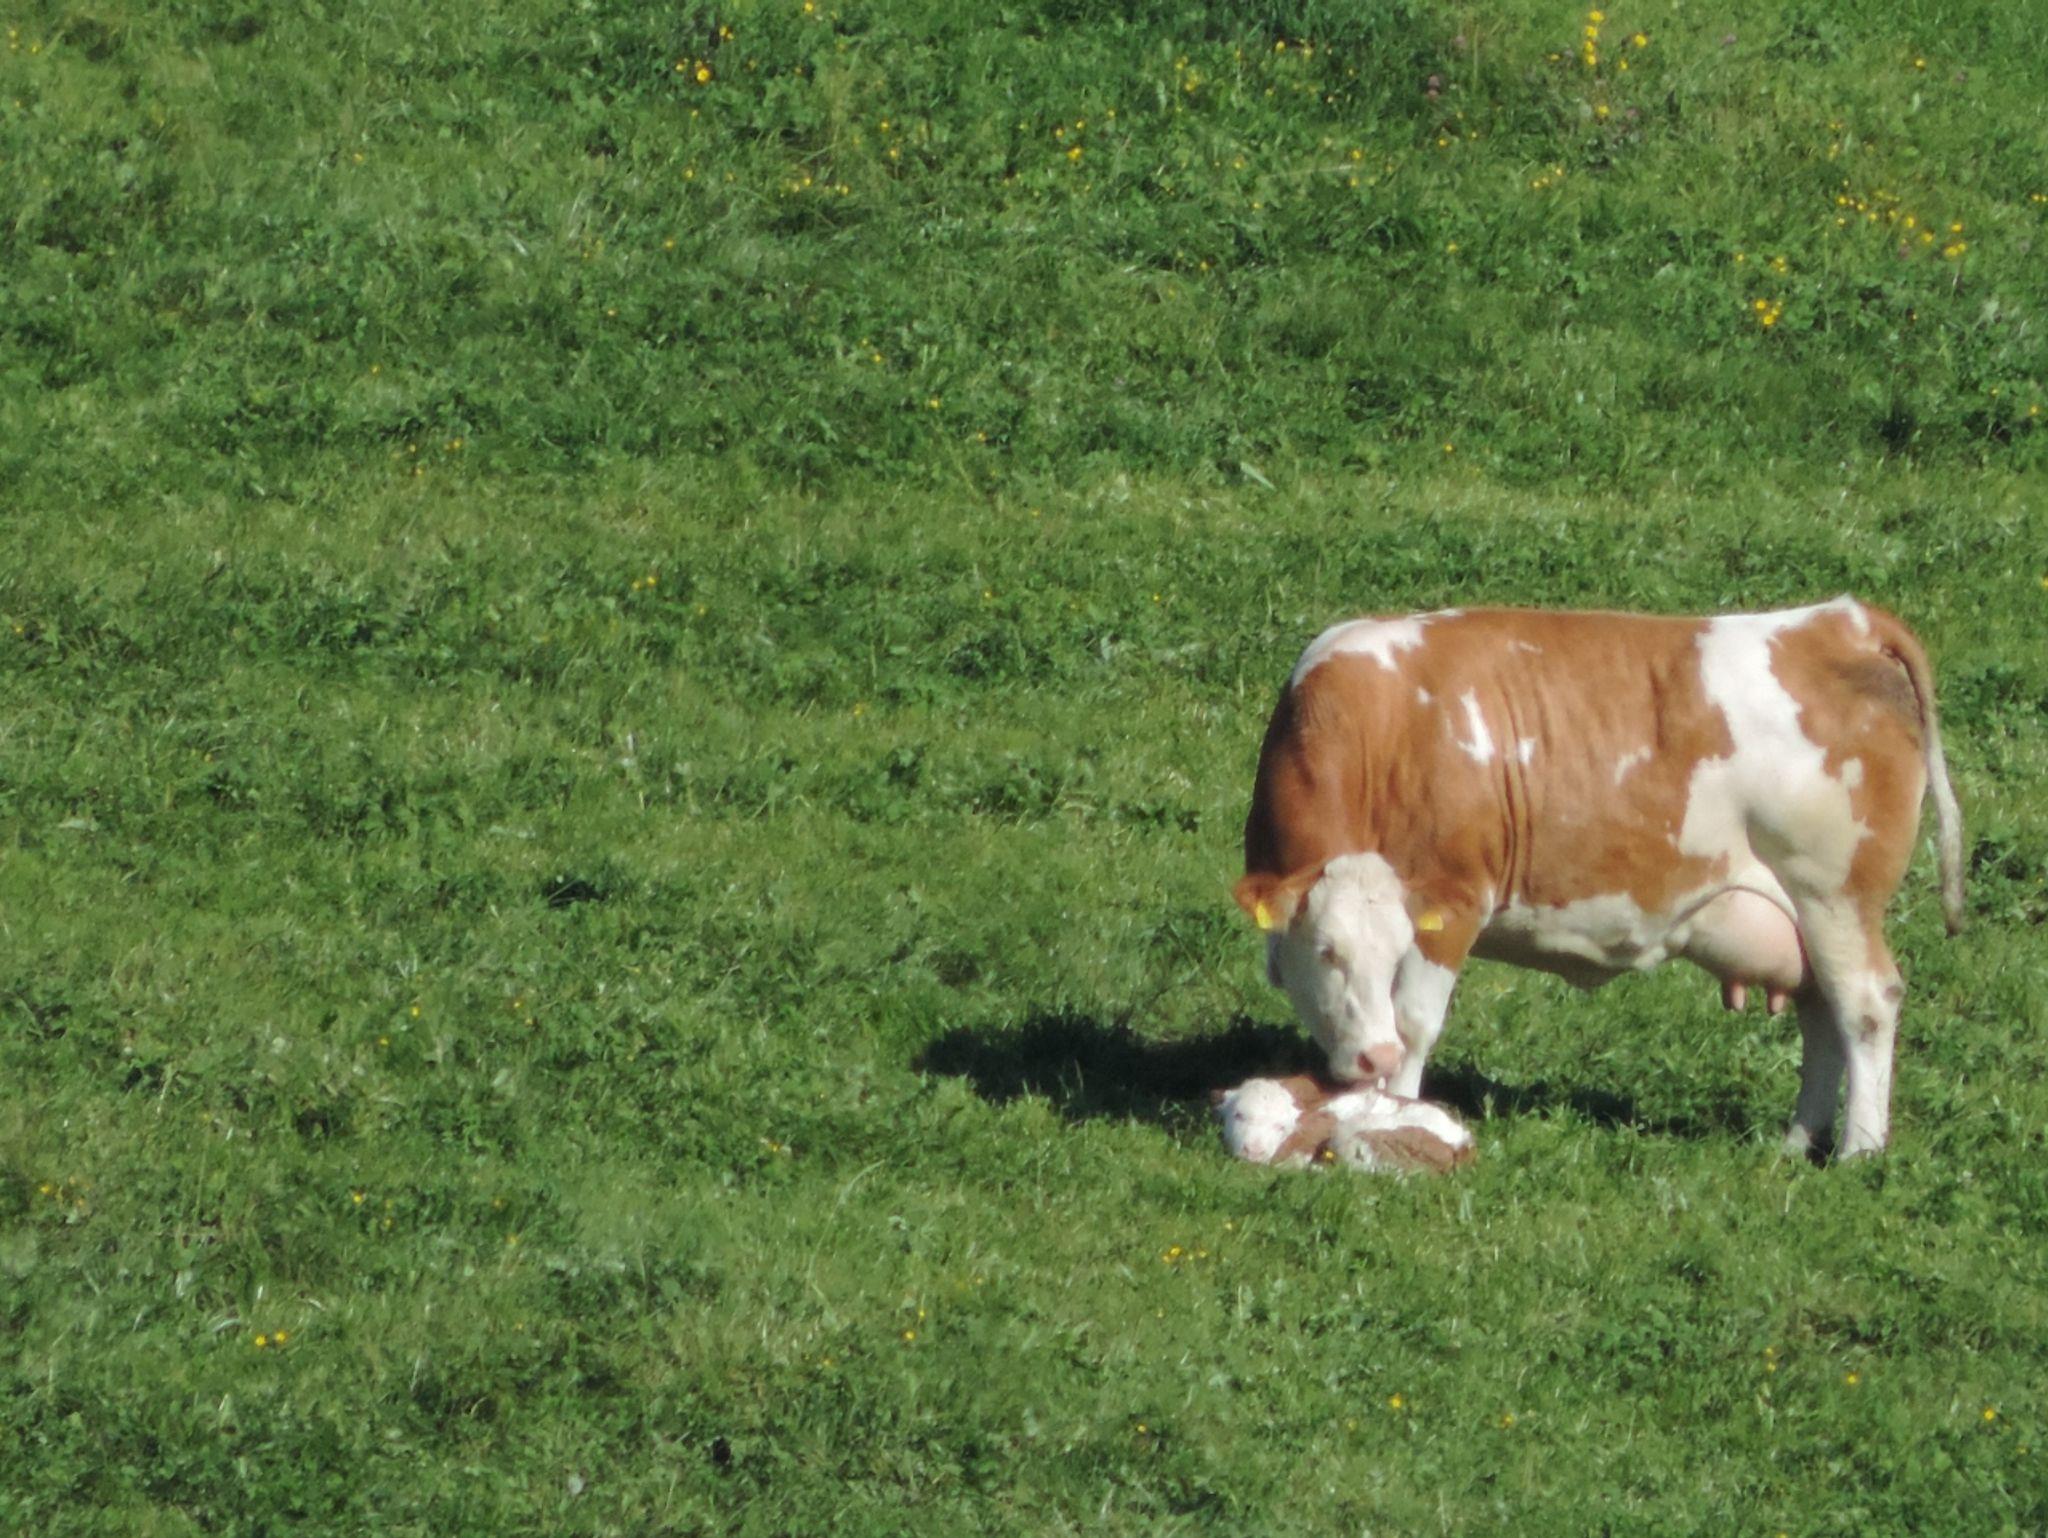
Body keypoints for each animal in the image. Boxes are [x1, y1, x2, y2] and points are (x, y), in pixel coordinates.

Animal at [1233, 598, 1963, 1159]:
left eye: (1392, 949)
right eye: (1326, 951)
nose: (1373, 1060)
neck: (1385, 730)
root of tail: (1841, 620)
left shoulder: (1454, 899)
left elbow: (1414, 1021)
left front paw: (1399, 1112)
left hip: (1835, 896)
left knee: (1865, 1006)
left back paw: (1858, 1151)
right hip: (1805, 918)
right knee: (1822, 1013)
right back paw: (1795, 1142)